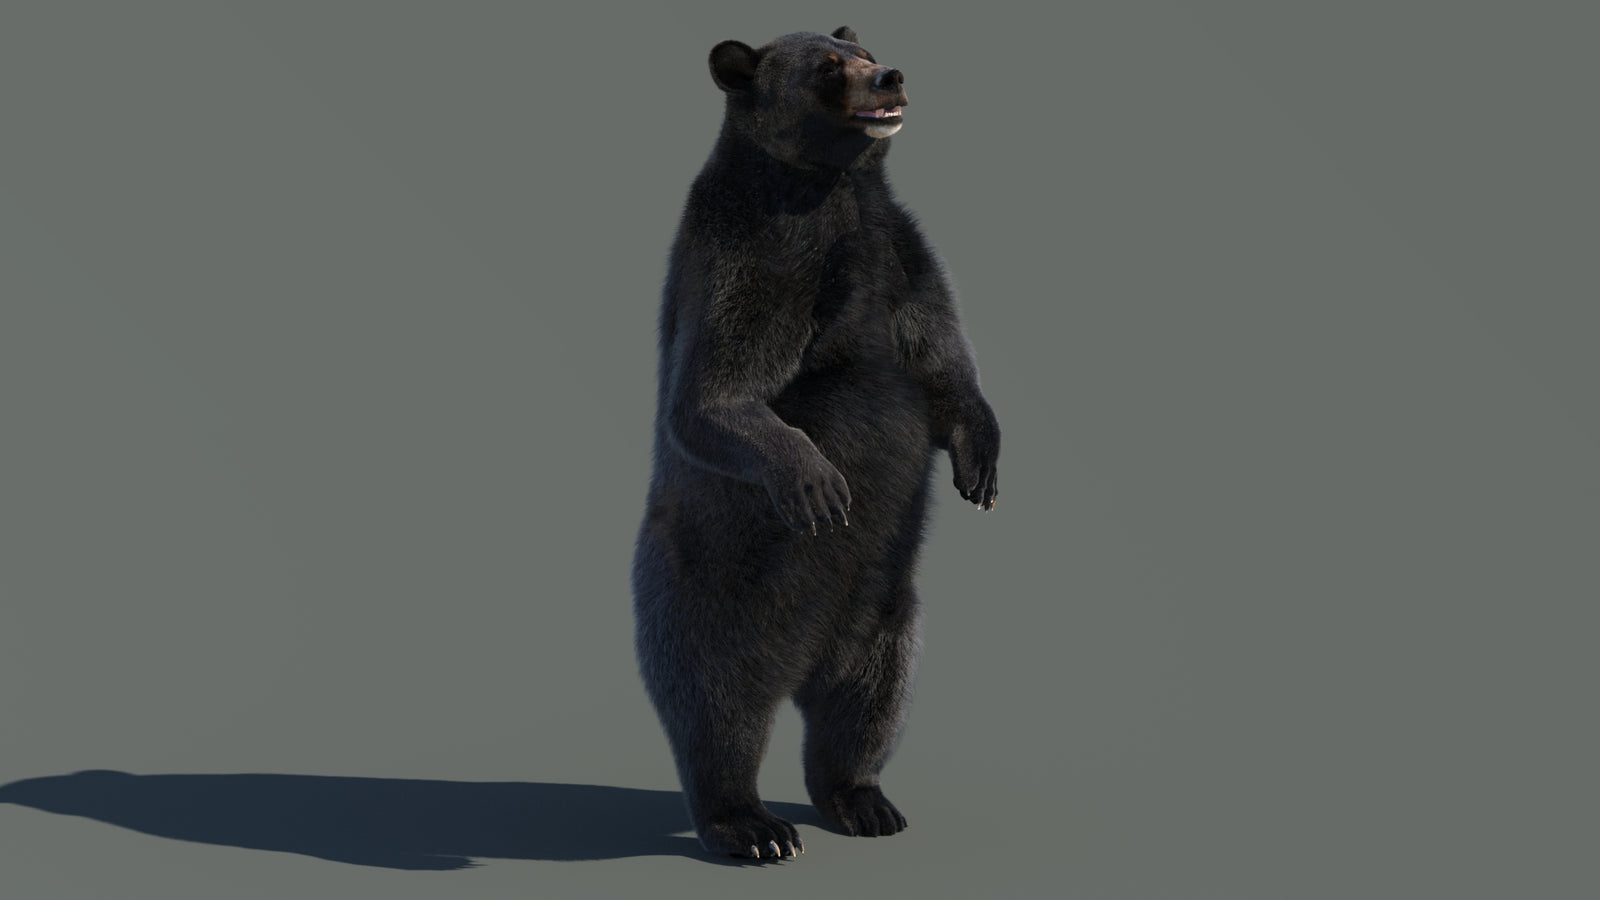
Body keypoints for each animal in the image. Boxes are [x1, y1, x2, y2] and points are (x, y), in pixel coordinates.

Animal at [631, 26, 1001, 860]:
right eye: (830, 68)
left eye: (864, 50)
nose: (890, 75)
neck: (831, 187)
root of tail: (803, 661)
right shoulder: (758, 250)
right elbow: (715, 393)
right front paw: (820, 484)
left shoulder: (899, 252)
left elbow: (943, 363)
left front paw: (981, 466)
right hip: (709, 593)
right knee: (717, 706)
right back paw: (752, 826)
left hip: (887, 614)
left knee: (868, 700)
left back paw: (863, 800)